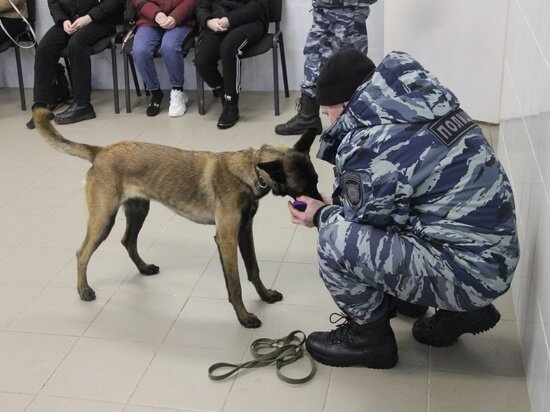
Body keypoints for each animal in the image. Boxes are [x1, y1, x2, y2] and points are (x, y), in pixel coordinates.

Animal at [33, 108, 324, 328]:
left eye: (316, 180)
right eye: (306, 185)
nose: (322, 204)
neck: (251, 171)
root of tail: (101, 151)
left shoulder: (245, 231)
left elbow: (253, 269)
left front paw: (265, 295)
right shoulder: (227, 239)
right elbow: (235, 284)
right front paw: (244, 317)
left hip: (139, 210)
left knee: (128, 241)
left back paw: (143, 268)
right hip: (104, 219)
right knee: (82, 253)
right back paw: (84, 290)